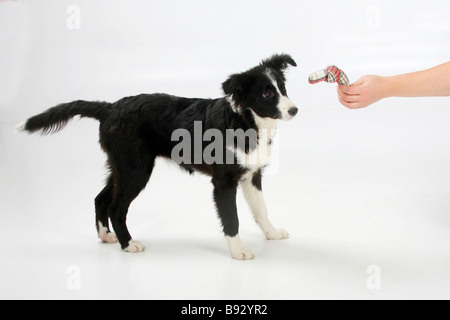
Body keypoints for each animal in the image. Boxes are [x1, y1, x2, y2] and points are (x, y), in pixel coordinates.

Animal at [15, 53, 298, 258]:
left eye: (283, 88)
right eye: (266, 93)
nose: (294, 110)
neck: (244, 120)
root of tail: (110, 108)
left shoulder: (252, 175)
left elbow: (262, 210)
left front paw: (272, 234)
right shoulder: (223, 182)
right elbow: (232, 218)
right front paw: (238, 251)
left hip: (121, 167)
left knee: (101, 199)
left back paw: (107, 236)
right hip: (135, 169)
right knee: (117, 206)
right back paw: (128, 244)